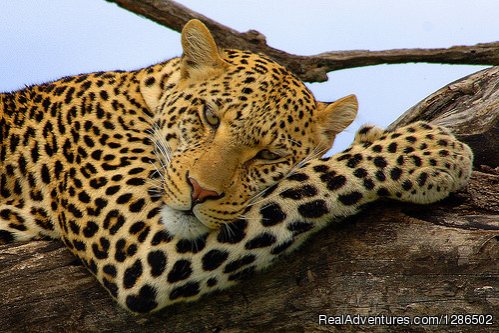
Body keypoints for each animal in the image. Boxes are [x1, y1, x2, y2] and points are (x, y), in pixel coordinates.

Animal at [0, 19, 474, 312]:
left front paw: (374, 135)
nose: (200, 192)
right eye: (210, 116)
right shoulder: (139, 246)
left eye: (268, 155)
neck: (141, 98)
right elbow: (314, 178)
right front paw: (426, 152)